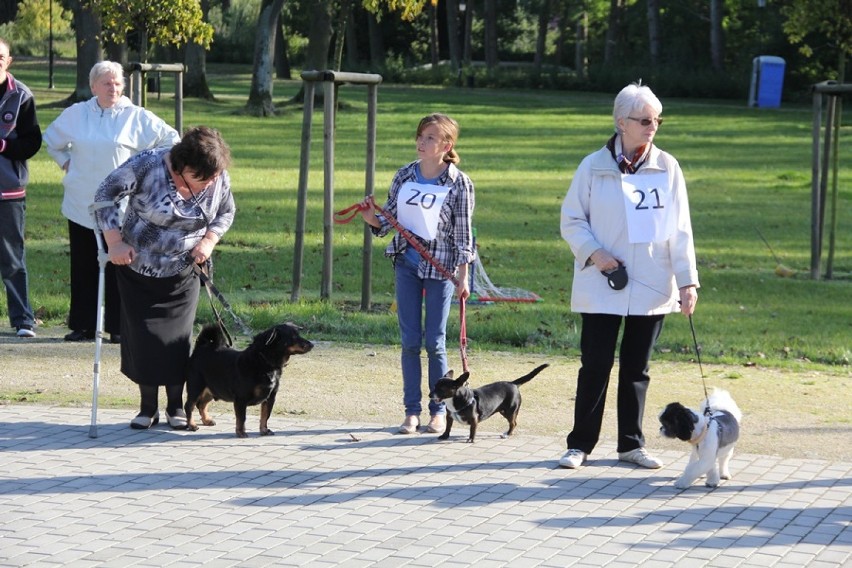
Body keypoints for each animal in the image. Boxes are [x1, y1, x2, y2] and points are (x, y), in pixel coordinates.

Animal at [183, 322, 312, 438]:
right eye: (293, 337)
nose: (311, 344)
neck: (265, 361)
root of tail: (201, 348)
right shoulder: (241, 399)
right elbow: (242, 418)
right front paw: (241, 432)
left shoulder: (270, 397)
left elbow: (265, 416)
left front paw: (264, 430)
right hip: (196, 388)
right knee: (189, 406)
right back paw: (192, 425)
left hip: (212, 389)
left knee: (201, 404)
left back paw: (206, 420)